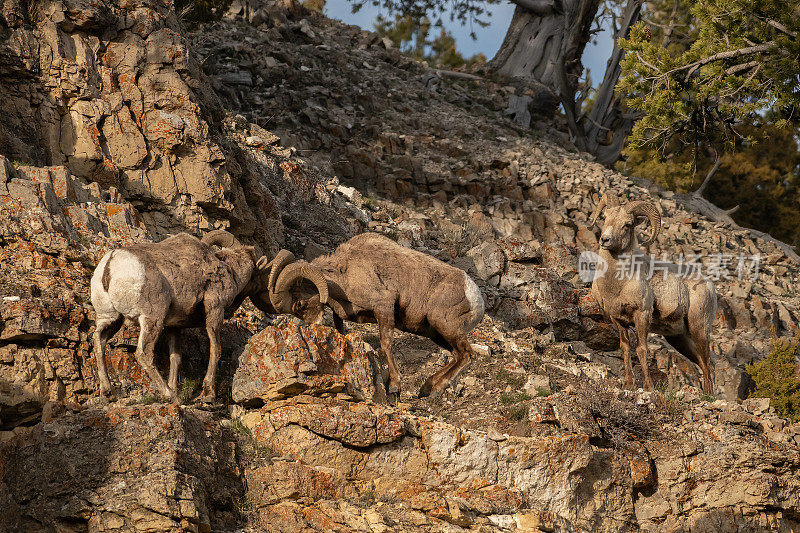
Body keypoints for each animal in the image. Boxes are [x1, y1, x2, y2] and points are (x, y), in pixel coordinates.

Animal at [92, 231, 330, 402]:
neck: (230, 270)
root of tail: (111, 265)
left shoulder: (174, 327)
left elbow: (175, 358)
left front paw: (178, 392)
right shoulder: (214, 310)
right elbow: (216, 350)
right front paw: (207, 394)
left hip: (110, 318)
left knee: (98, 342)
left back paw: (108, 393)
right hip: (151, 319)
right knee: (143, 354)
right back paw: (167, 395)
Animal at [266, 233, 484, 400]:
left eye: (300, 304)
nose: (315, 327)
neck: (346, 272)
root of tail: (475, 297)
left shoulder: (384, 307)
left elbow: (386, 344)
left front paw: (394, 387)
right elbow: (342, 330)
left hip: (446, 329)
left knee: (467, 356)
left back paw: (434, 389)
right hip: (436, 334)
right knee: (457, 356)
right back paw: (426, 389)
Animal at [592, 194, 716, 390]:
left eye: (627, 224)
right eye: (604, 217)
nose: (605, 240)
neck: (617, 284)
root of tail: (710, 286)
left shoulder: (641, 315)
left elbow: (641, 349)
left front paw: (648, 387)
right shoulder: (618, 320)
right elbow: (625, 348)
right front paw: (628, 384)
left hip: (700, 329)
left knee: (708, 364)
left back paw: (708, 396)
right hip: (679, 338)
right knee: (702, 364)